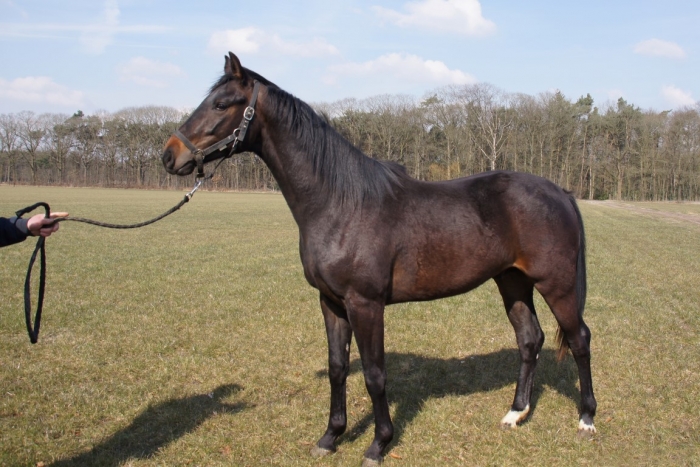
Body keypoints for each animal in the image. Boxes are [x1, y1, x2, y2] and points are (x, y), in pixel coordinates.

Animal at [163, 53, 596, 466]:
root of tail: (559, 192)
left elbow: (374, 374)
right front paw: (331, 437)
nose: (169, 155)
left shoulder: (365, 304)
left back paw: (586, 419)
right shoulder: (331, 302)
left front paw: (378, 444)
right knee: (529, 339)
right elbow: (338, 369)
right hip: (512, 281)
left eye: (221, 104)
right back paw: (515, 413)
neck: (340, 204)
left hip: (556, 285)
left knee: (579, 339)